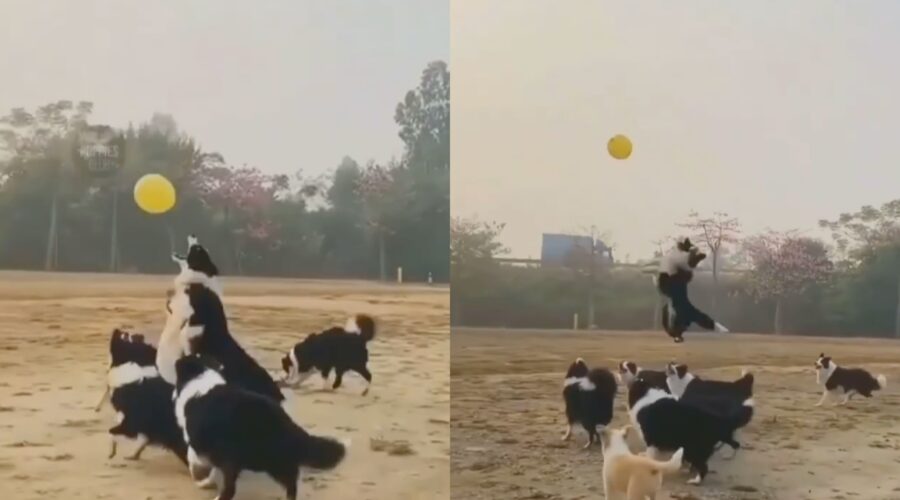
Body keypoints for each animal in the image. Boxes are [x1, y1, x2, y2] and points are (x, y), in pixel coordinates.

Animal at [102, 328, 186, 464]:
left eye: (125, 336)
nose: (116, 329)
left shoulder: (129, 423)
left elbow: (112, 433)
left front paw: (112, 451)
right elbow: (142, 441)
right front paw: (133, 454)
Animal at [174, 354, 346, 500]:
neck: (201, 378)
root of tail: (287, 423)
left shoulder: (201, 443)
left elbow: (194, 457)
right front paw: (206, 481)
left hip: (250, 457)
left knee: (231, 488)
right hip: (272, 460)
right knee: (291, 481)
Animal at [624, 378, 752, 484]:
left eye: (636, 382)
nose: (630, 381)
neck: (646, 395)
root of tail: (720, 421)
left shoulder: (651, 439)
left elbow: (651, 456)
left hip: (694, 449)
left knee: (704, 467)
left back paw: (695, 480)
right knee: (735, 444)